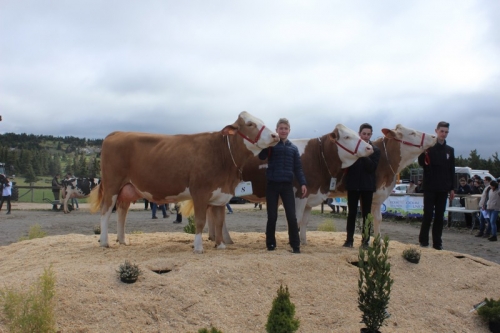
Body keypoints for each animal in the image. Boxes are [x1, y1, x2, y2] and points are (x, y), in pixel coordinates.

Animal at [88, 111, 280, 252]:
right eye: (250, 124)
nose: (275, 135)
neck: (222, 154)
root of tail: (117, 133)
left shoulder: (221, 194)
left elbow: (219, 221)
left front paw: (220, 245)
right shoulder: (200, 192)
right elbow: (201, 220)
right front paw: (198, 247)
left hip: (127, 188)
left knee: (122, 211)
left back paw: (122, 240)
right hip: (112, 185)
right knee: (105, 211)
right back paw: (105, 242)